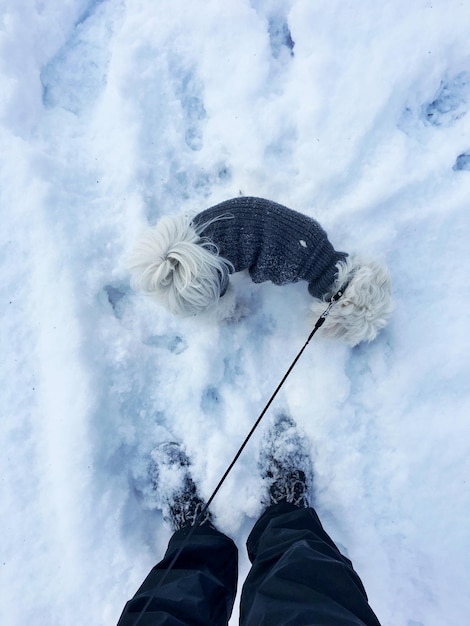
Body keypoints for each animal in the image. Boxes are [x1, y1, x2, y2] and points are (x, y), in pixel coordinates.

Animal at [129, 196, 392, 346]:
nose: (366, 345)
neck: (327, 266)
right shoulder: (271, 269)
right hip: (218, 294)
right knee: (225, 311)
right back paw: (240, 312)